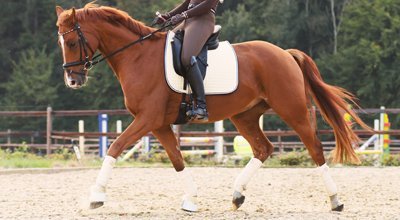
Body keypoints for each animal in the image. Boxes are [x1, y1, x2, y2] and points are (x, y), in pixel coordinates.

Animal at [56, 3, 372, 213]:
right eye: (61, 41)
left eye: (71, 41)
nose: (73, 80)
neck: (137, 56)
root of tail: (284, 53)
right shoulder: (159, 123)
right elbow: (177, 159)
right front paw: (191, 200)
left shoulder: (147, 119)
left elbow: (115, 147)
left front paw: (96, 197)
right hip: (244, 115)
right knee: (263, 148)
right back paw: (237, 195)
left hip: (291, 109)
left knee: (314, 147)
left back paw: (335, 201)